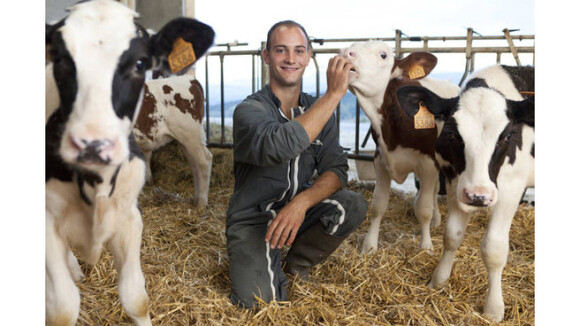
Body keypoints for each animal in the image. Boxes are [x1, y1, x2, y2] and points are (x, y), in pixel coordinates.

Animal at [134, 74, 211, 206]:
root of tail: (190, 79)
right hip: (185, 140)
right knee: (194, 164)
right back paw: (195, 199)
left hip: (191, 135)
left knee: (204, 160)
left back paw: (201, 202)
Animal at [340, 42, 458, 252]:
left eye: (383, 55)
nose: (346, 52)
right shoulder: (380, 160)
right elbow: (378, 205)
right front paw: (369, 245)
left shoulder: (428, 163)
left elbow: (423, 209)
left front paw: (425, 246)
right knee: (435, 189)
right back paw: (437, 220)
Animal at [398, 65, 536, 322]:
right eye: (452, 134)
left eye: (507, 136)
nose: (478, 196)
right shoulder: (455, 184)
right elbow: (452, 235)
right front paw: (439, 279)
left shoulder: (511, 188)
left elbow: (493, 247)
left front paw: (493, 308)